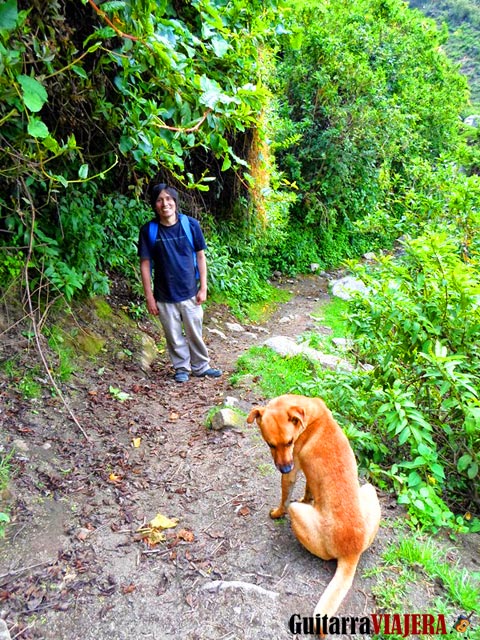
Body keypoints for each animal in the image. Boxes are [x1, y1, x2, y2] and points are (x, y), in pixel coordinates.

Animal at [248, 392, 378, 624]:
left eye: (289, 442)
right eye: (270, 444)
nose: (285, 467)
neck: (311, 418)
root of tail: (351, 553)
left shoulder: (291, 473)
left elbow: (284, 498)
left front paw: (276, 513)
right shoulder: (305, 474)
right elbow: (309, 490)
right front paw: (307, 497)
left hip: (297, 513)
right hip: (369, 491)